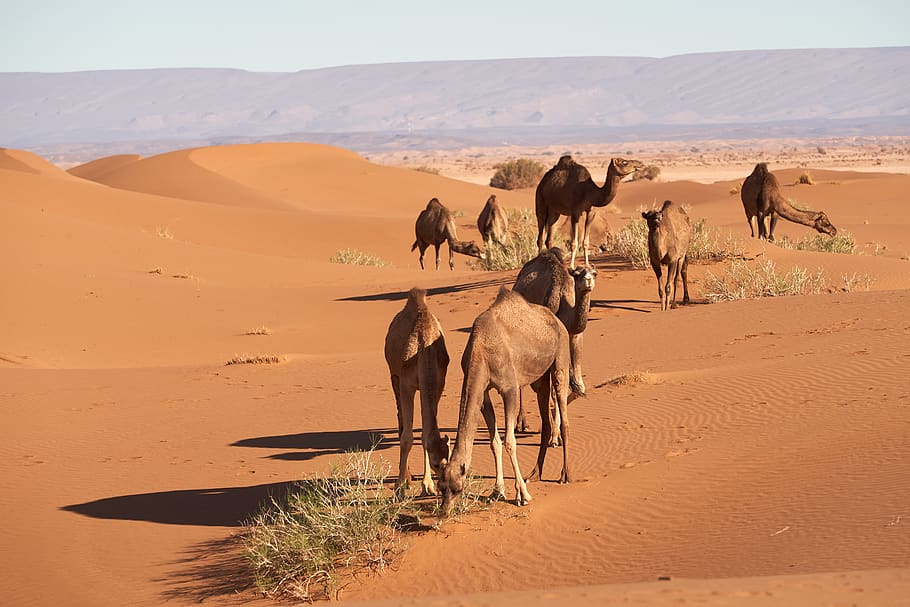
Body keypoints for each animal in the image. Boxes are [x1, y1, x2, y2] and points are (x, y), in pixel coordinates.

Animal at [383, 288, 451, 495]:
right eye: (436, 464)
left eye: (449, 459)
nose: (444, 487)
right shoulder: (407, 385)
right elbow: (407, 437)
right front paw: (399, 485)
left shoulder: (437, 384)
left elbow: (425, 434)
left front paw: (427, 486)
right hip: (394, 376)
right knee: (400, 419)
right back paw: (406, 477)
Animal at [436, 288, 582, 514]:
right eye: (440, 487)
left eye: (457, 488)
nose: (444, 511)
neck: (481, 350)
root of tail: (555, 319)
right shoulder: (483, 392)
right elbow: (494, 442)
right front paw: (498, 491)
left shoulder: (510, 390)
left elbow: (510, 442)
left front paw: (522, 495)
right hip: (540, 377)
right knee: (545, 418)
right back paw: (535, 474)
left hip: (561, 356)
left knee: (563, 408)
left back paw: (565, 475)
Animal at [513, 247, 595, 442]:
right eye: (579, 274)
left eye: (594, 272)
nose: (589, 280)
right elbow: (553, 388)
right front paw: (554, 436)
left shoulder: (575, 337)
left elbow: (577, 386)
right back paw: (521, 424)